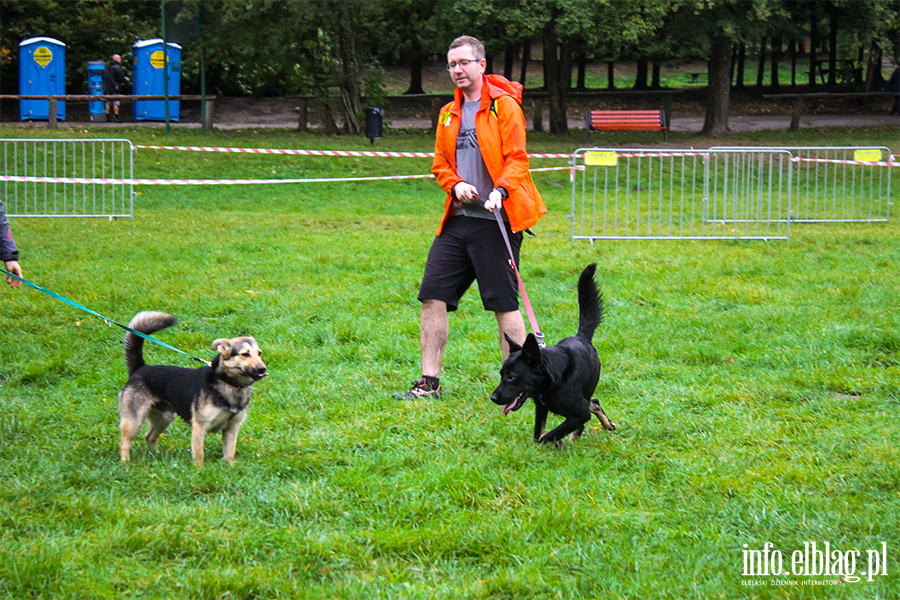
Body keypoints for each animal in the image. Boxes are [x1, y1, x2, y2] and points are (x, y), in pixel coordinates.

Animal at [115, 312, 268, 466]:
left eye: (259, 353)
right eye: (245, 354)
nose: (263, 369)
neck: (228, 383)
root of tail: (140, 368)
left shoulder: (232, 428)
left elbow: (230, 454)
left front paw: (230, 468)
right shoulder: (199, 426)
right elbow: (199, 454)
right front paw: (199, 469)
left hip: (165, 416)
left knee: (149, 436)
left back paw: (156, 456)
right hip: (134, 420)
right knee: (124, 444)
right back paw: (125, 463)